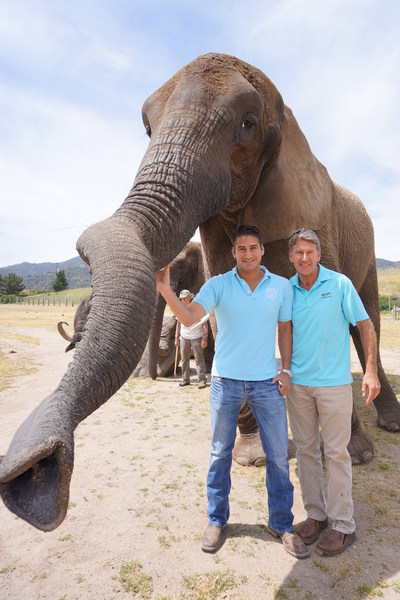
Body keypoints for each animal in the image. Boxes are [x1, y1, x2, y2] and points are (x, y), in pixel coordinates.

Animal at [0, 50, 400, 528]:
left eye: (247, 123)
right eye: (147, 128)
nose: (34, 474)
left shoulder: (317, 223)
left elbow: (343, 324)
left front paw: (353, 456)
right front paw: (253, 456)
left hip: (367, 246)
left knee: (367, 321)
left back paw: (380, 430)